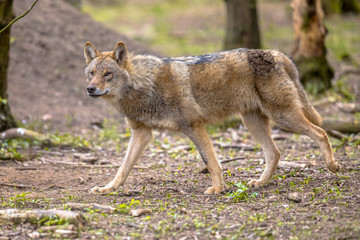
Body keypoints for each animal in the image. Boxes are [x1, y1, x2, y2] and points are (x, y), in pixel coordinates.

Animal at [83, 41, 338, 195]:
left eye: (108, 74)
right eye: (91, 73)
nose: (90, 89)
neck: (144, 86)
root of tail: (275, 53)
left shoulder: (194, 126)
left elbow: (211, 162)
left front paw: (216, 189)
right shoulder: (142, 133)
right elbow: (122, 168)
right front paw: (107, 188)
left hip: (283, 117)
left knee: (321, 132)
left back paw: (332, 165)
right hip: (252, 123)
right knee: (274, 153)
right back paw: (259, 183)